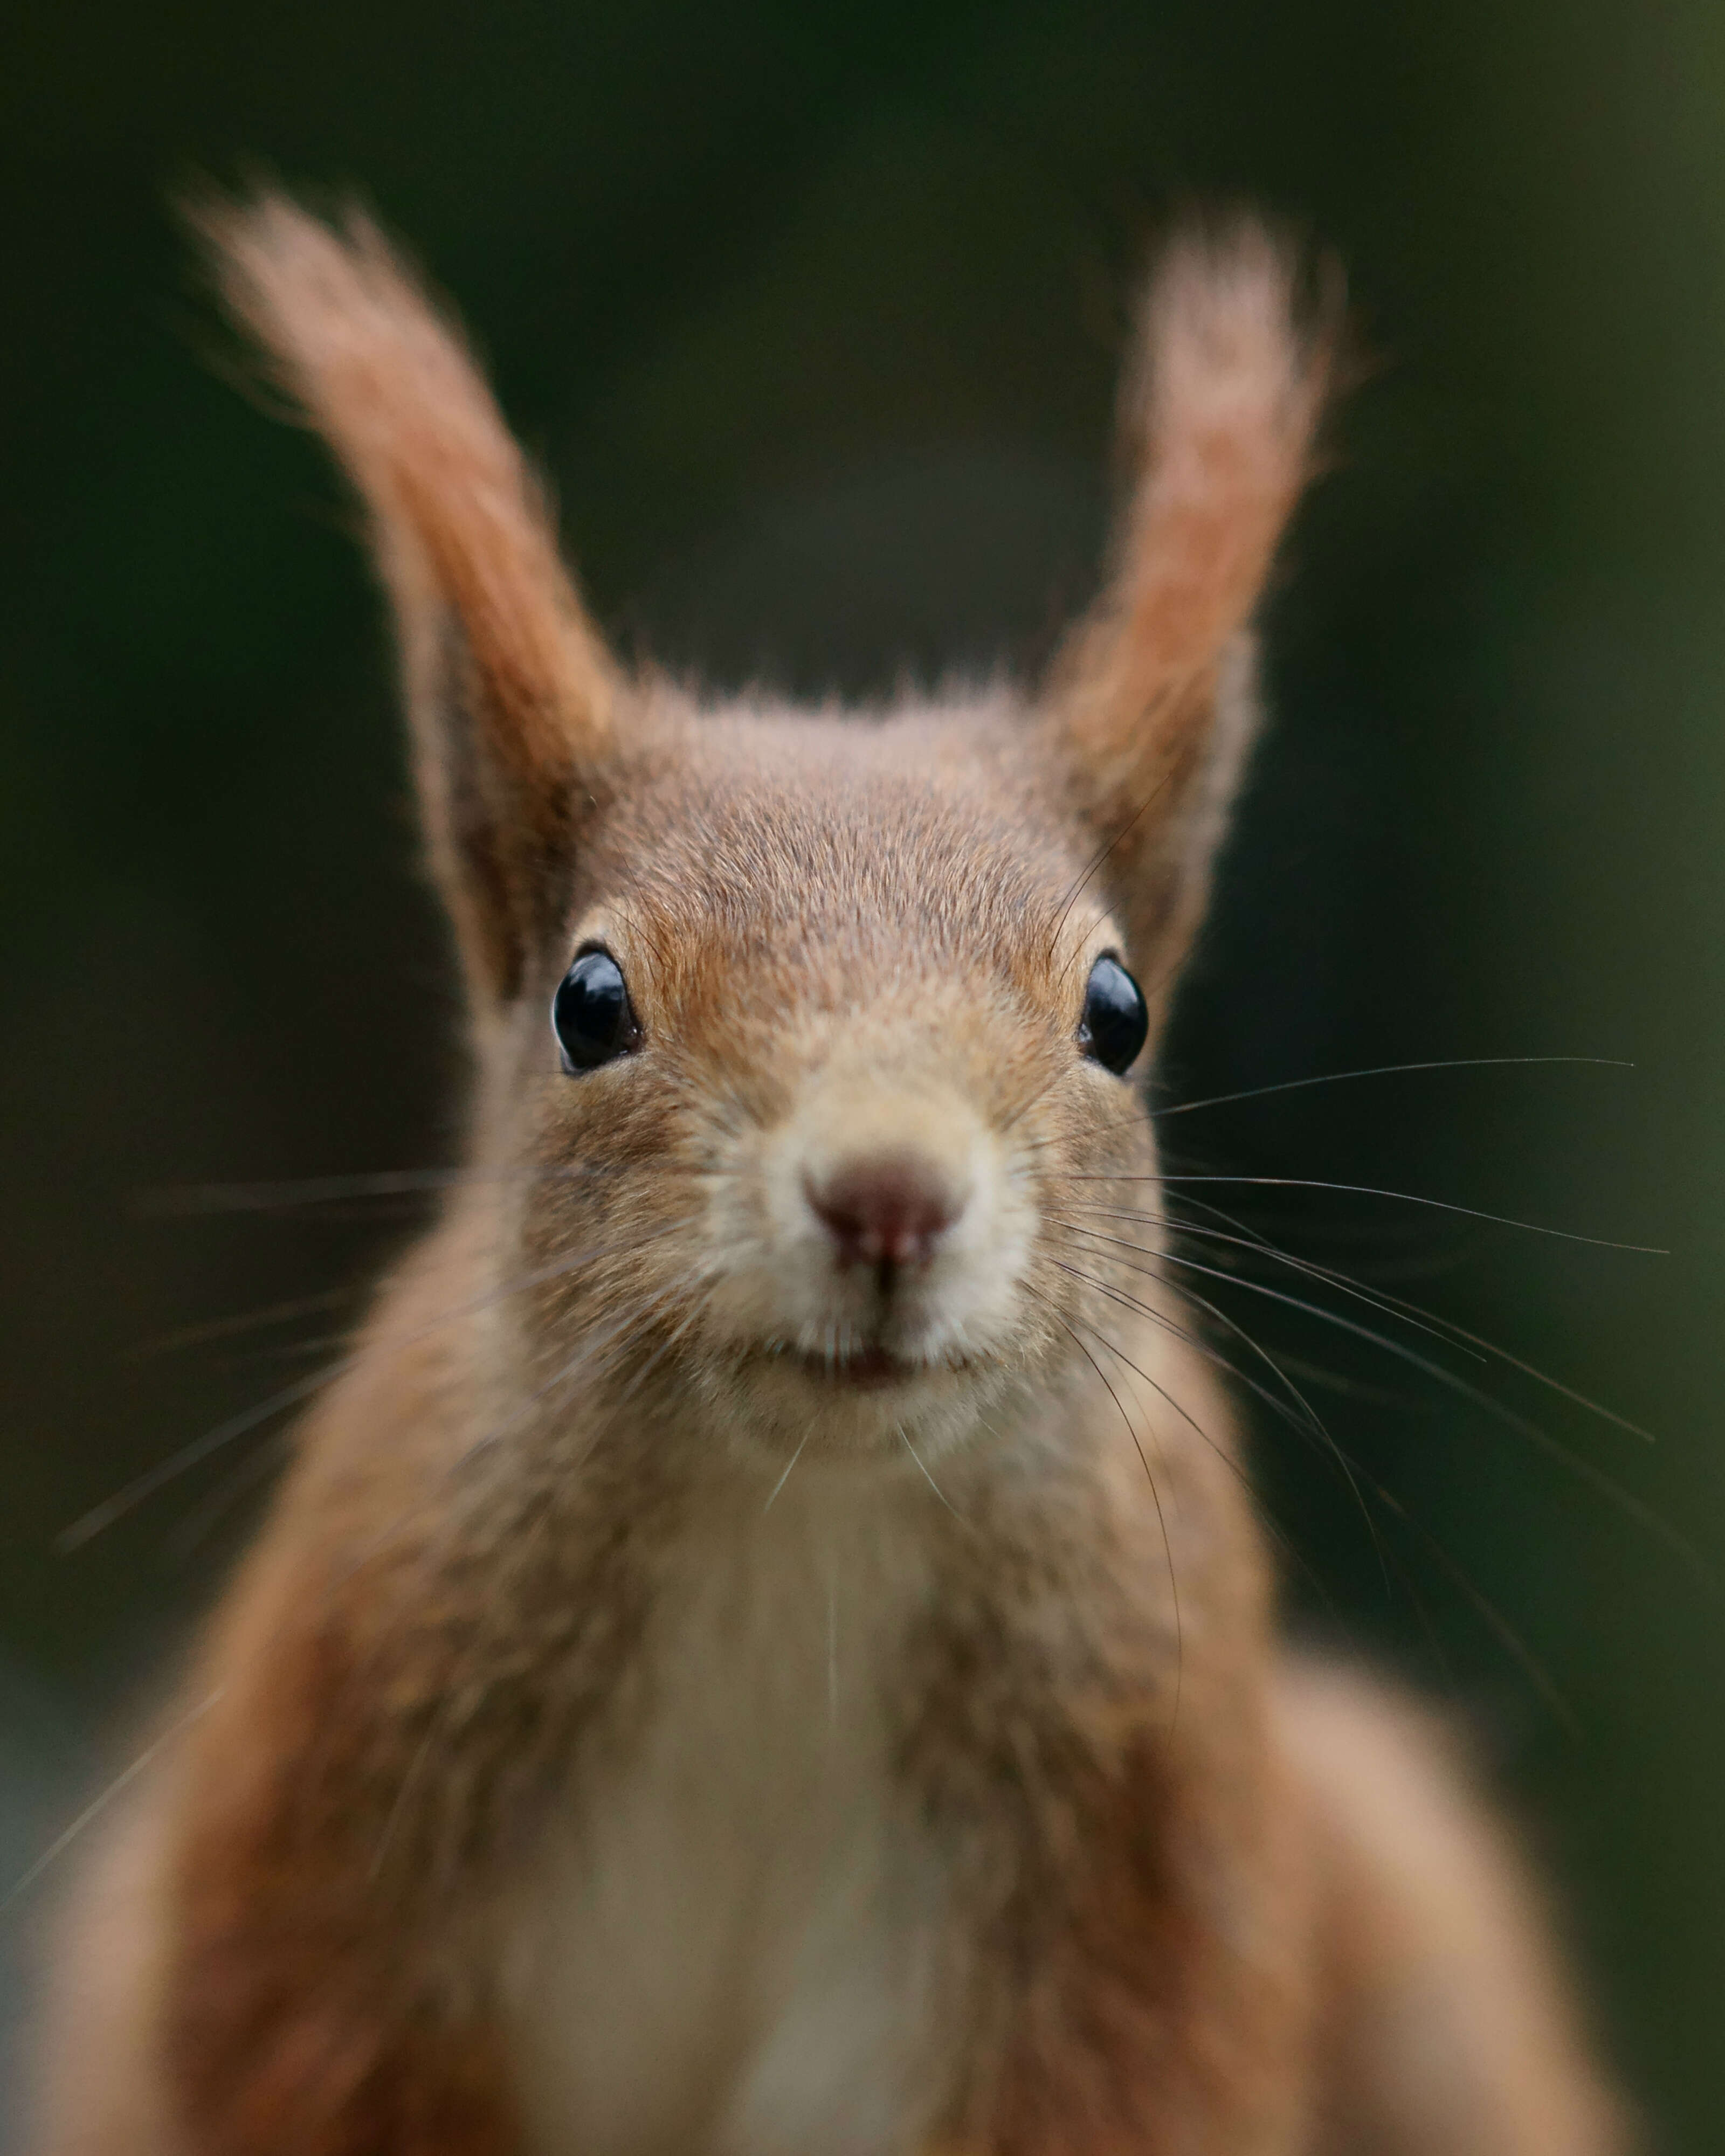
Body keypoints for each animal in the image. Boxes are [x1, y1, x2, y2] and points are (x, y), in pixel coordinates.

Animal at [30, 194, 1630, 2147]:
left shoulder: (1112, 1919)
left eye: (1119, 1010)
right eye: (587, 1001)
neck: (797, 1532)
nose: (887, 1196)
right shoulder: (330, 1882)